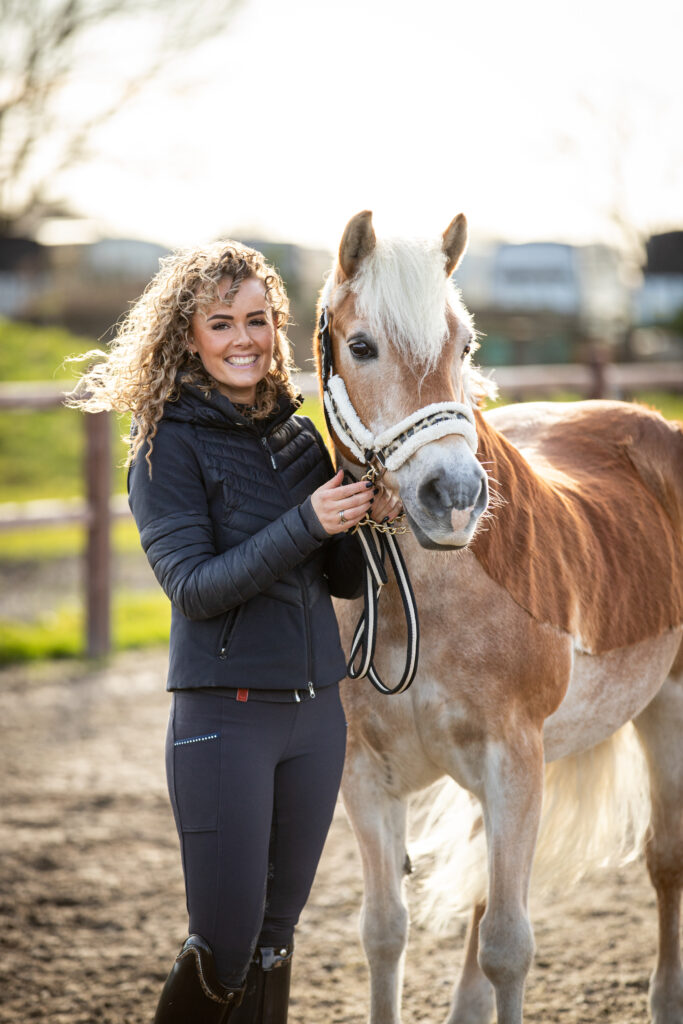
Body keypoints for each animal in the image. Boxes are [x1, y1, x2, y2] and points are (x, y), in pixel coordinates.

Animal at [315, 209, 683, 1024]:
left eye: (465, 346)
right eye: (362, 346)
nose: (452, 495)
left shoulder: (515, 763)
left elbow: (510, 946)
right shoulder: (364, 774)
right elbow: (384, 930)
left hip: (666, 710)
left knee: (665, 858)